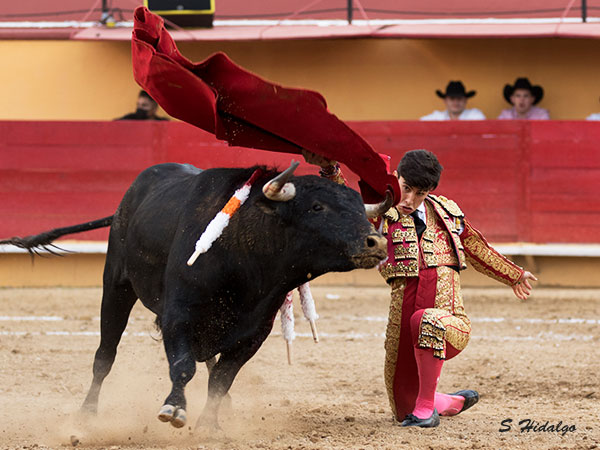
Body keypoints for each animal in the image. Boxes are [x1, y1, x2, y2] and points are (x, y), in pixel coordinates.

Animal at [2, 163, 386, 428]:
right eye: (317, 207)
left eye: (358, 206)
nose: (376, 242)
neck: (246, 260)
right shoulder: (178, 315)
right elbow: (183, 366)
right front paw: (174, 408)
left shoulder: (254, 331)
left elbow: (221, 379)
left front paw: (210, 424)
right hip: (116, 286)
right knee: (104, 356)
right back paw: (87, 412)